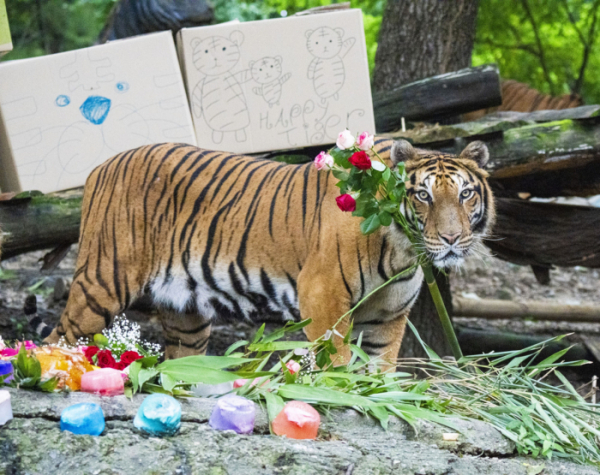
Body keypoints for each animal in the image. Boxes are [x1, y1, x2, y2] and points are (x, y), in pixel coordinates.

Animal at [41, 138, 492, 368]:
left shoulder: (387, 315)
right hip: (102, 282)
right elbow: (336, 359)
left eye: (465, 195)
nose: (452, 239)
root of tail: (101, 165)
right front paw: (339, 393)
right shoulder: (323, 296)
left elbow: (380, 368)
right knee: (58, 338)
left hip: (187, 314)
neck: (403, 250)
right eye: (423, 196)